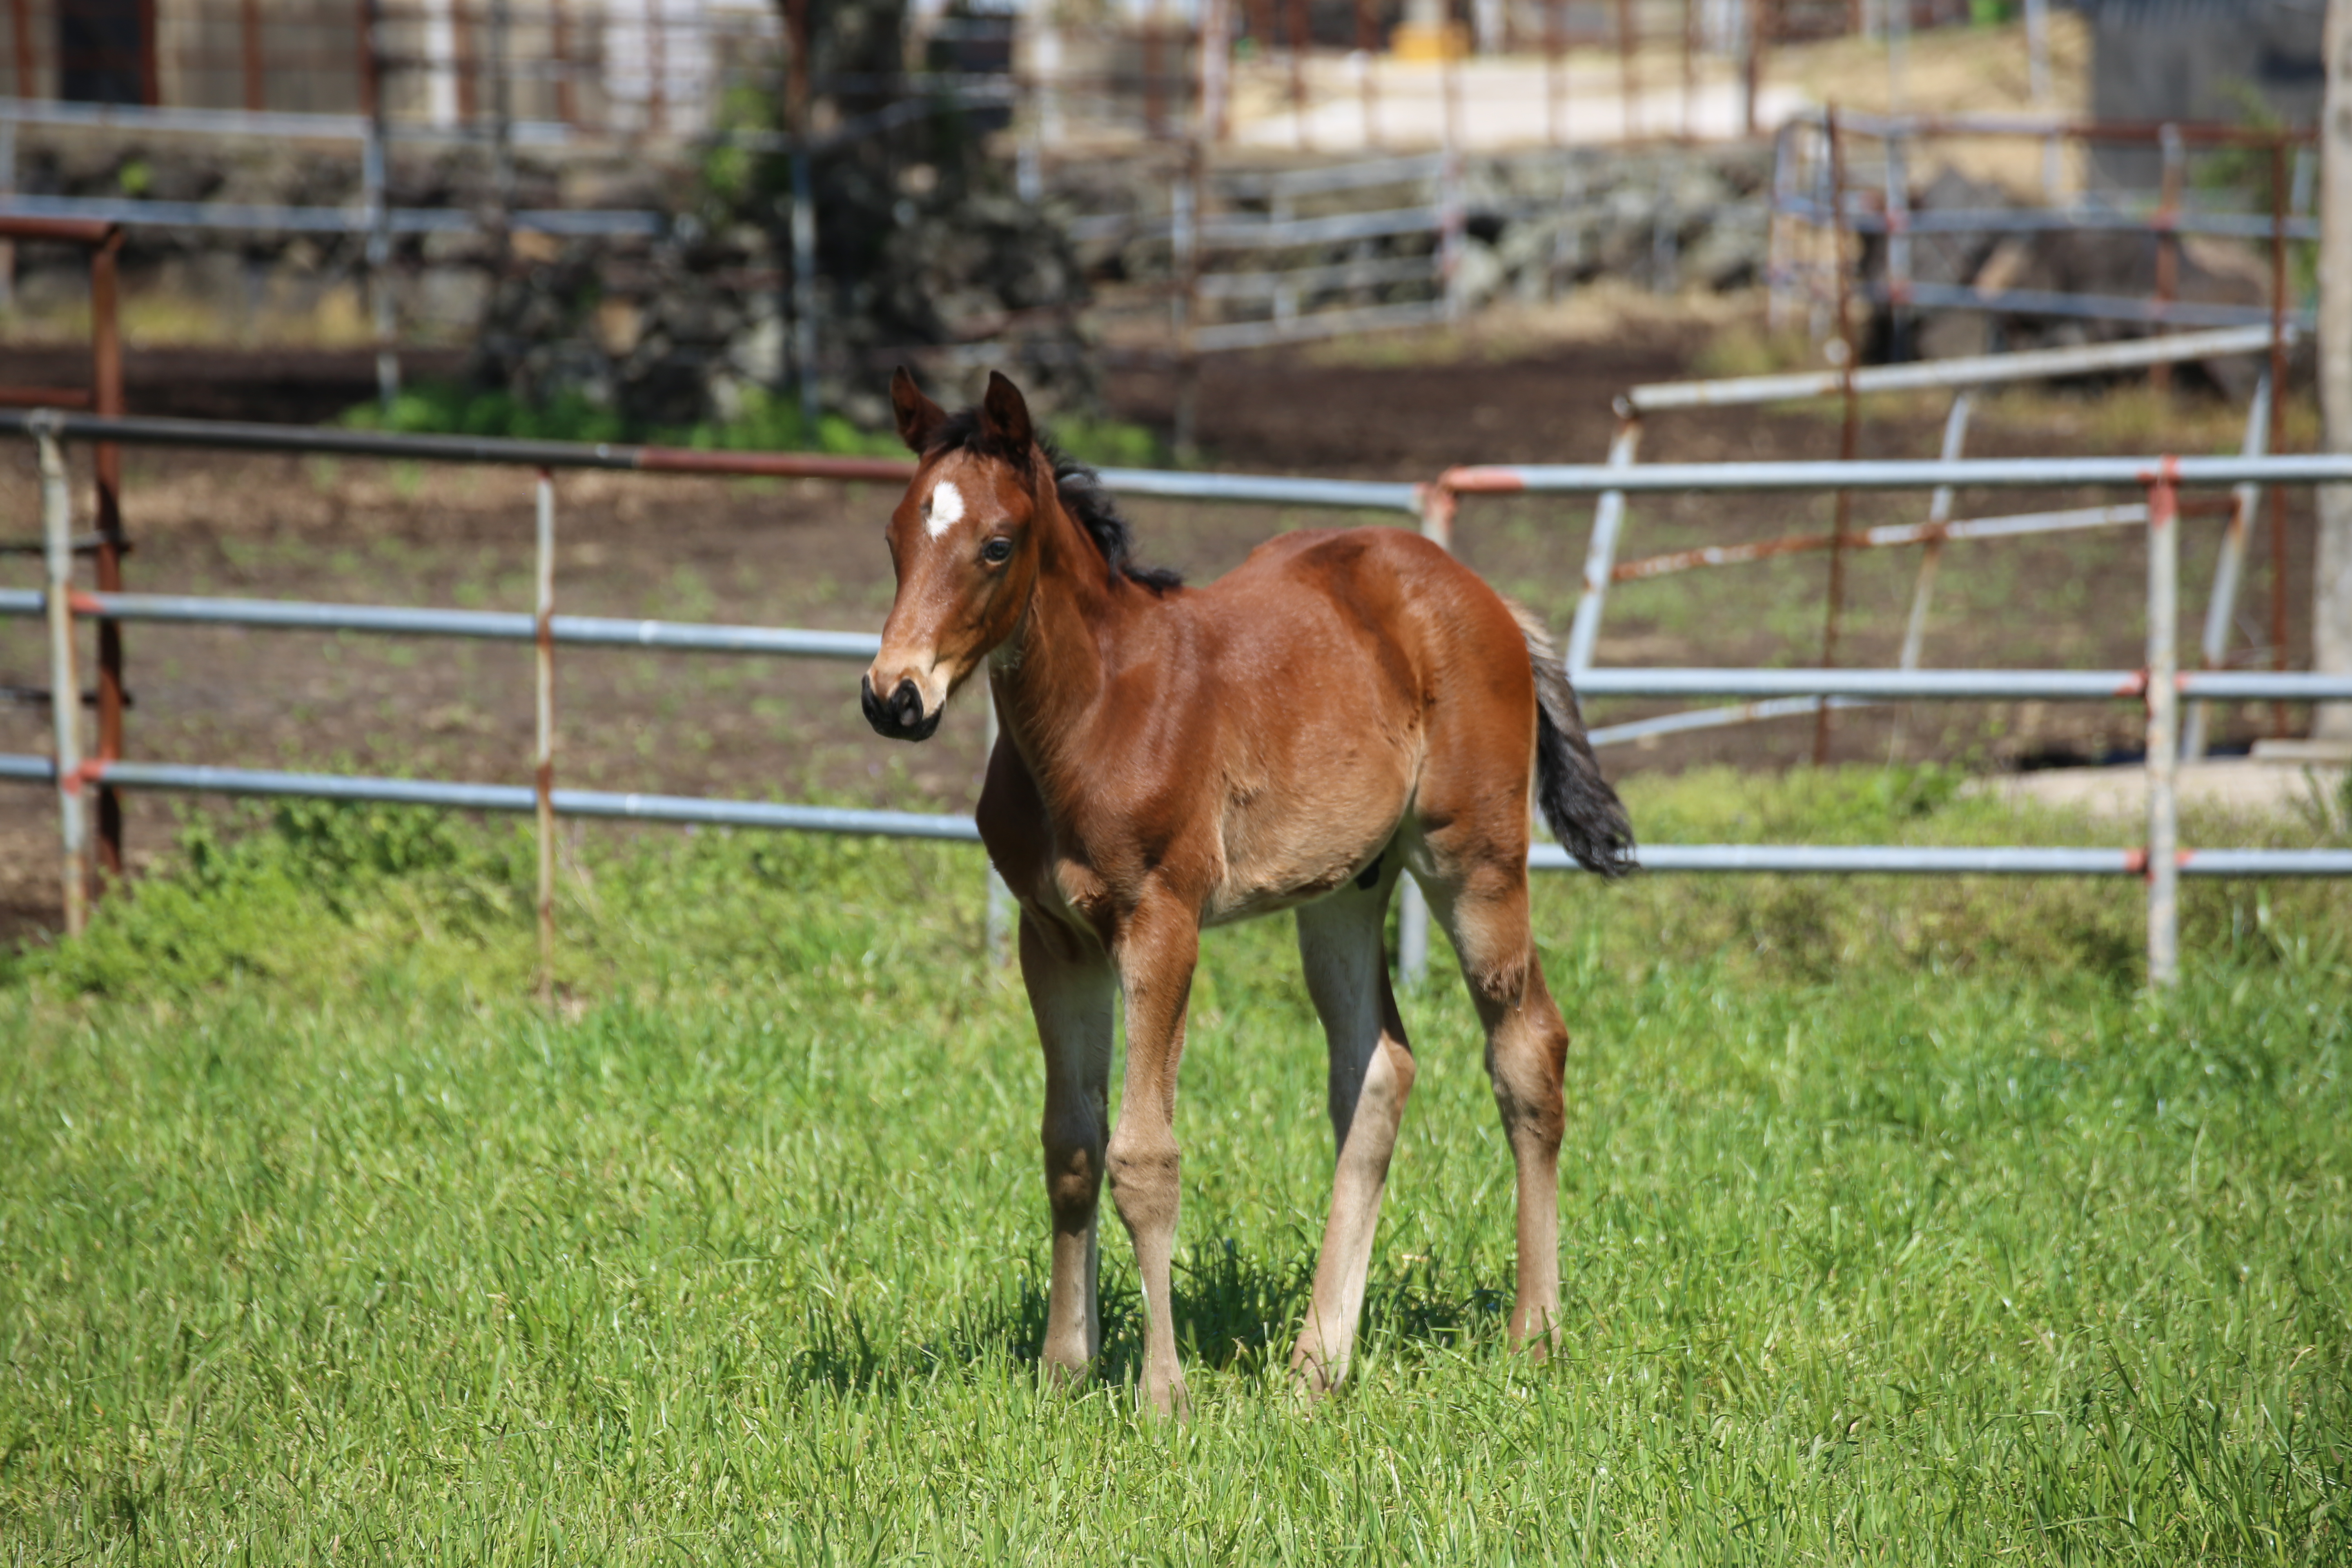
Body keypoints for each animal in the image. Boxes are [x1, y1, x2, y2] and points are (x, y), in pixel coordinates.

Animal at [865, 371, 1637, 1420]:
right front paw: (1063, 1370)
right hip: (1343, 889)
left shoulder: (1161, 923)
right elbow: (1071, 1144)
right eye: (895, 536)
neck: (1092, 716)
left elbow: (1144, 1157)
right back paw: (1318, 1363)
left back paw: (1534, 1335)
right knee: (1377, 1070)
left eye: (996, 543)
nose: (893, 696)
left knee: (1527, 1049)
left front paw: (1162, 1395)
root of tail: (1480, 595)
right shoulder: (1051, 936)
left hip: (1470, 860)